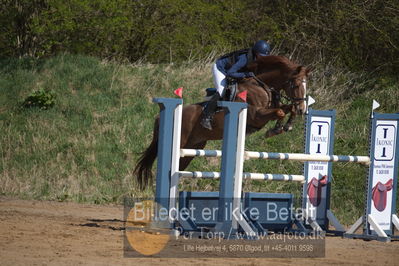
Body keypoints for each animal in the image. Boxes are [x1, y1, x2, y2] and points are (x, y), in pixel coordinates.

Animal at [133, 55, 310, 189]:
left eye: (306, 86)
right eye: (295, 85)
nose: (303, 109)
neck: (262, 86)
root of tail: (158, 117)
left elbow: (286, 109)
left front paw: (286, 125)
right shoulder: (256, 115)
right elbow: (279, 111)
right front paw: (275, 129)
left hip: (193, 148)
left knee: (177, 168)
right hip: (180, 143)